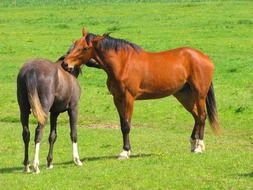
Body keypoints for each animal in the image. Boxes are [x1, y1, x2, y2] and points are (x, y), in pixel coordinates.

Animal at [16, 46, 99, 174]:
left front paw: (50, 162)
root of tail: (31, 70)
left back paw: (26, 166)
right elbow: (73, 133)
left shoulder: (54, 113)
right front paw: (77, 160)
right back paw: (35, 165)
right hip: (43, 110)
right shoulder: (73, 108)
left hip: (24, 110)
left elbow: (52, 136)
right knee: (38, 132)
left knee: (26, 134)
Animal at [62, 27, 219, 159]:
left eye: (84, 48)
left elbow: (127, 125)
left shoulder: (129, 98)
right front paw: (126, 150)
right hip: (183, 95)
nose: (65, 64)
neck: (123, 63)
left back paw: (199, 147)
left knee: (202, 117)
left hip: (199, 94)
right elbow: (122, 125)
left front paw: (125, 152)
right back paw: (193, 144)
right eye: (74, 44)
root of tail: (205, 58)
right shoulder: (117, 99)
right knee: (196, 117)